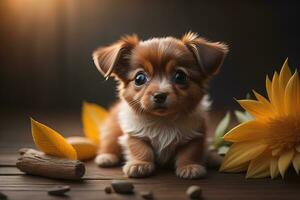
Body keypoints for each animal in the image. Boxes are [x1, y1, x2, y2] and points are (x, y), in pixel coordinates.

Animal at [92, 32, 227, 179]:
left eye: (180, 77)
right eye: (139, 78)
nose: (160, 95)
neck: (163, 121)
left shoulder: (195, 135)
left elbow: (190, 152)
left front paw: (190, 166)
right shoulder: (134, 134)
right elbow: (140, 149)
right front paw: (140, 164)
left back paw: (213, 158)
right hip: (111, 129)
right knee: (109, 142)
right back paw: (106, 156)